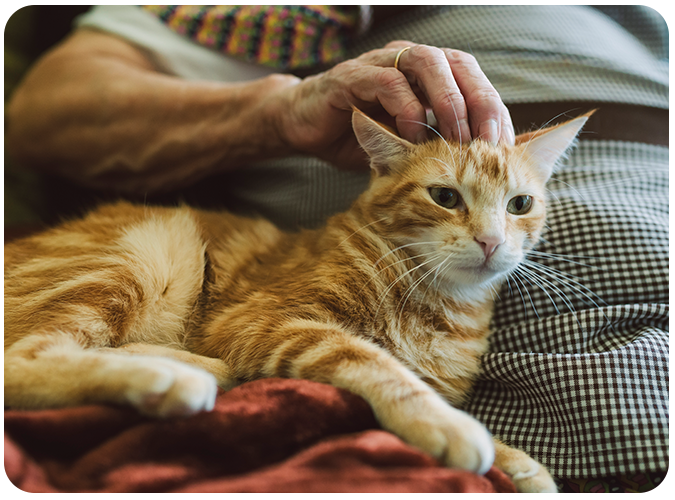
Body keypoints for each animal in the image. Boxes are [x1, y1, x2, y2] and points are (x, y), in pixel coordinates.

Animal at [3, 108, 592, 492]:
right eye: (445, 197)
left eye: (520, 205)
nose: (491, 241)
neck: (442, 303)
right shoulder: (266, 320)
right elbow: (376, 362)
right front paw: (448, 425)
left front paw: (517, 461)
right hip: (144, 250)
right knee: (24, 358)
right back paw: (166, 379)